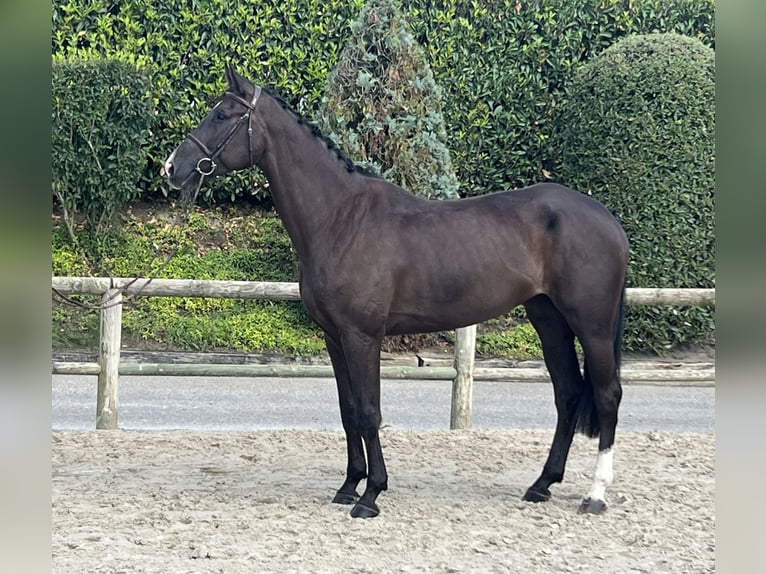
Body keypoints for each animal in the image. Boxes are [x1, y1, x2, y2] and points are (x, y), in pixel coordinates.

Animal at [162, 65, 632, 520]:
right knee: (567, 393)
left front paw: (371, 495)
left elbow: (370, 411)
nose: (171, 169)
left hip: (591, 325)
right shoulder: (334, 338)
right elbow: (349, 410)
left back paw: (594, 495)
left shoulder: (362, 336)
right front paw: (348, 486)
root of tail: (607, 219)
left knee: (607, 395)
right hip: (548, 319)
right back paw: (541, 485)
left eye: (222, 115)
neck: (341, 219)